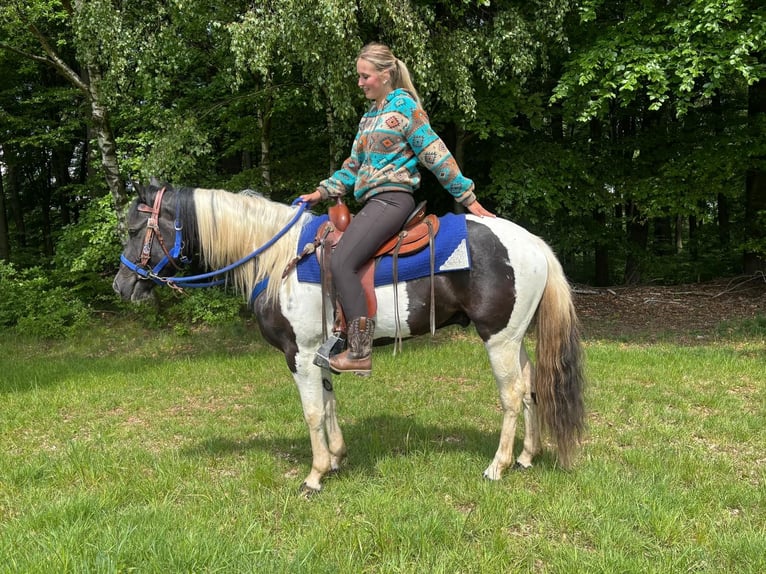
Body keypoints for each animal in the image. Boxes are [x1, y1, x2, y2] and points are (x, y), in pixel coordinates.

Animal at [113, 183, 586, 494]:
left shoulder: (299, 354)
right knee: (530, 388)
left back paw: (497, 466)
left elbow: (311, 413)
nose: (121, 285)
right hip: (514, 338)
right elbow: (329, 404)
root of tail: (533, 244)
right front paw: (337, 459)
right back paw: (526, 457)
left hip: (498, 339)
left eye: (136, 229)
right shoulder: (321, 354)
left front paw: (315, 475)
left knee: (511, 396)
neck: (278, 260)